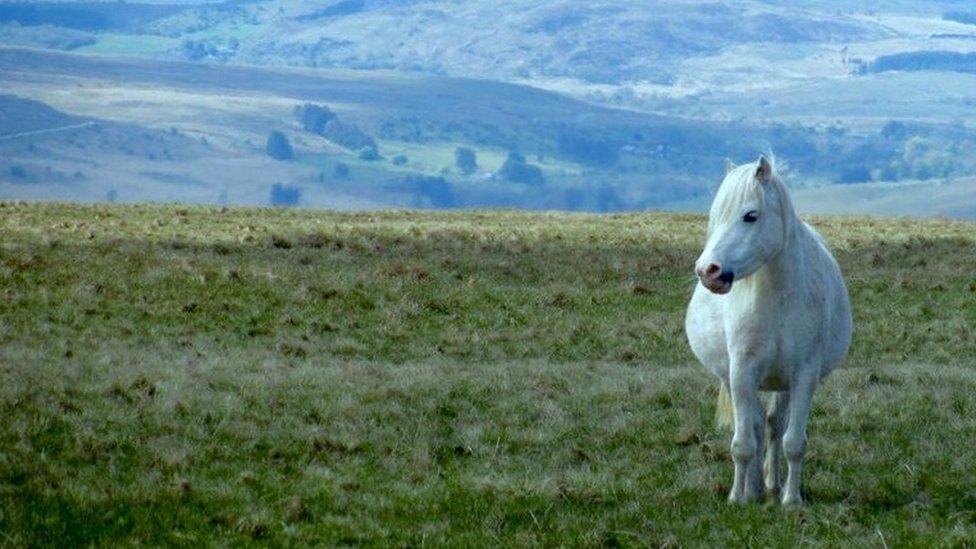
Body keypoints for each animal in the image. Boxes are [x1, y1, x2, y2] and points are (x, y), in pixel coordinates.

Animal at [688, 155, 856, 506]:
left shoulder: (804, 375)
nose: (708, 271)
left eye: (750, 216)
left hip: (784, 383)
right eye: (715, 215)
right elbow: (743, 443)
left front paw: (791, 500)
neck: (777, 299)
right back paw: (752, 488)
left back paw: (772, 484)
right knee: (752, 425)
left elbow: (793, 441)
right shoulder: (741, 372)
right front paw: (737, 498)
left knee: (773, 425)